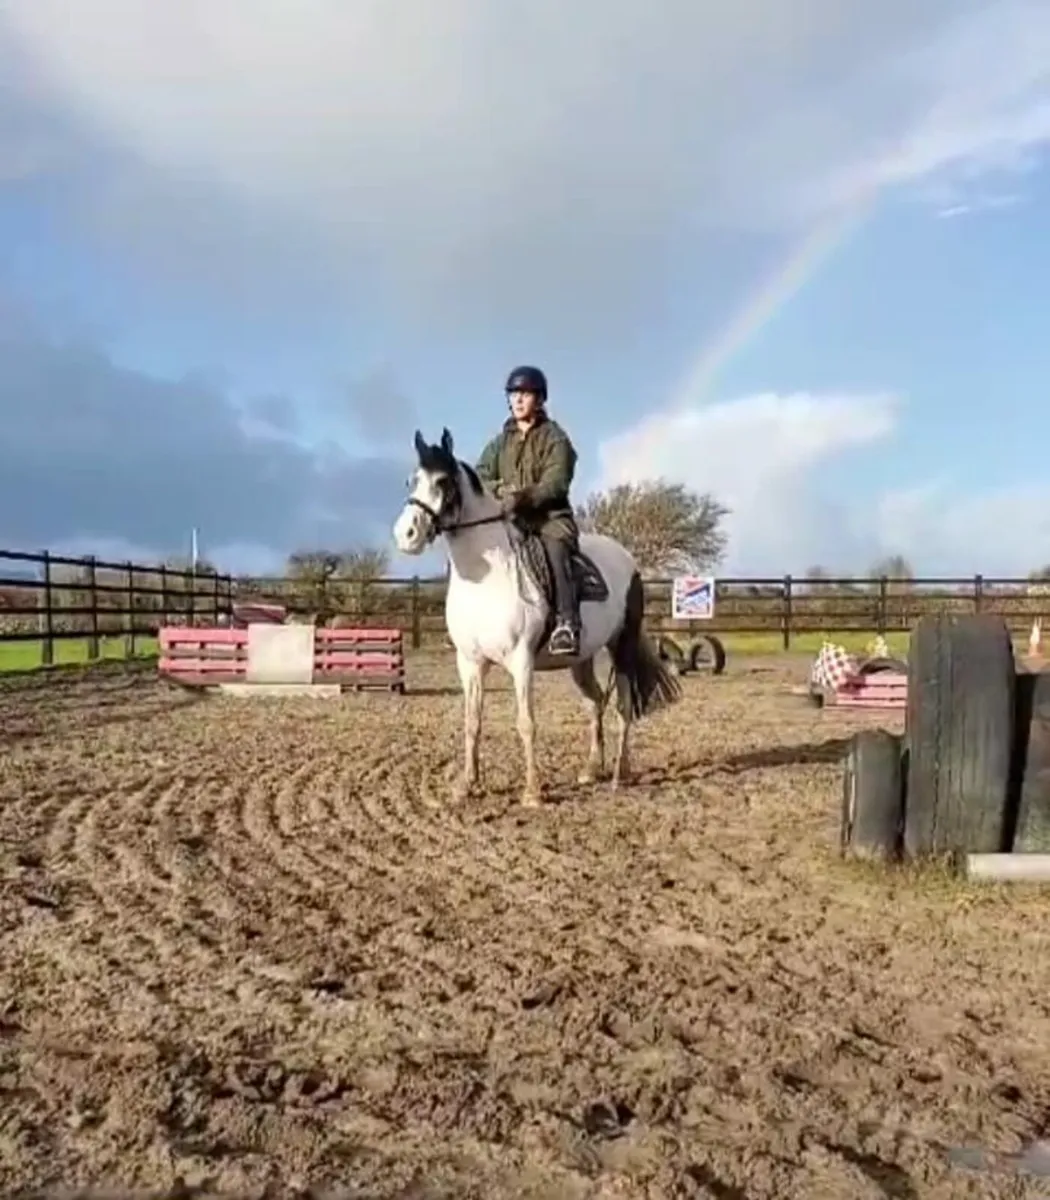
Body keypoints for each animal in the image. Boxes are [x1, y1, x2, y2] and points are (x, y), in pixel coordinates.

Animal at [392, 427, 681, 807]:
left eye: (442, 481)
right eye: (411, 480)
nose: (405, 535)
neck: (488, 577)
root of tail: (627, 560)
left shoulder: (521, 661)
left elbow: (526, 723)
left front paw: (532, 792)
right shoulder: (470, 663)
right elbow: (472, 722)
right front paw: (466, 786)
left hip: (623, 646)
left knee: (624, 704)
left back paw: (620, 774)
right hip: (581, 659)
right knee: (595, 702)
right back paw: (592, 769)